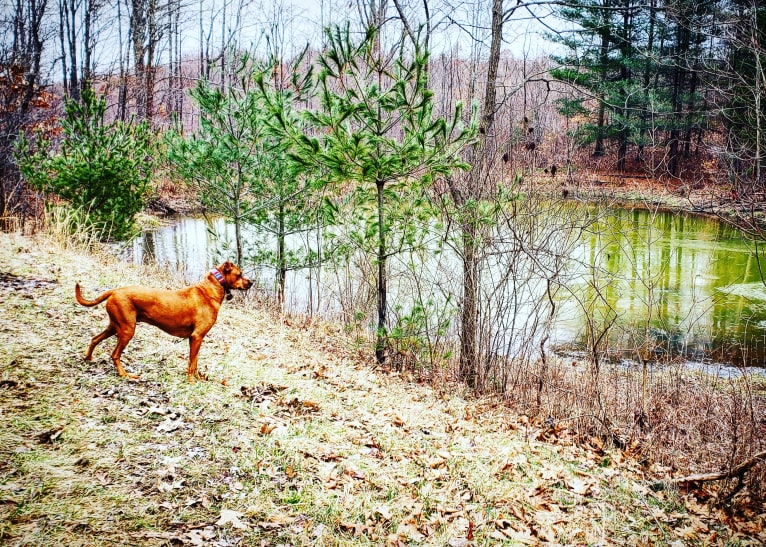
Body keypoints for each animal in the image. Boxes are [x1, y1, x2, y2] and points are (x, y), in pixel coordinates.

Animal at [73, 262, 252, 384]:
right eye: (239, 274)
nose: (252, 282)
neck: (210, 289)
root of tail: (115, 291)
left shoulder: (196, 339)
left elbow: (195, 361)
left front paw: (199, 378)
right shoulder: (196, 337)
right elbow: (191, 363)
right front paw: (191, 382)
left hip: (115, 326)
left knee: (95, 339)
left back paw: (88, 358)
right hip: (127, 330)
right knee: (114, 354)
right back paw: (125, 374)